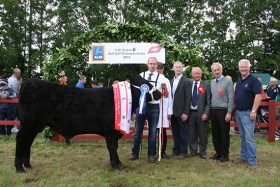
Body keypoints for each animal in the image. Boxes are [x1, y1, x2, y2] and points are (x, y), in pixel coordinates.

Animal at [14, 74, 161, 172]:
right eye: (146, 85)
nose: (160, 93)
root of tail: (29, 82)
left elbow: (111, 148)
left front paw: (115, 163)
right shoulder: (110, 130)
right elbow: (113, 147)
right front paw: (117, 165)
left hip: (35, 126)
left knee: (28, 142)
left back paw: (27, 165)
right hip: (28, 124)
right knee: (21, 139)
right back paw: (19, 168)